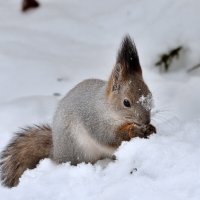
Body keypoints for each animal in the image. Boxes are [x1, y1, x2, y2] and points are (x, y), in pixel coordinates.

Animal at [0, 34, 156, 188]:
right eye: (126, 103)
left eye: (150, 95)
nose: (146, 120)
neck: (107, 108)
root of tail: (56, 152)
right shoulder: (95, 121)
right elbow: (109, 138)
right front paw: (134, 131)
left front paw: (151, 128)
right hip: (78, 149)